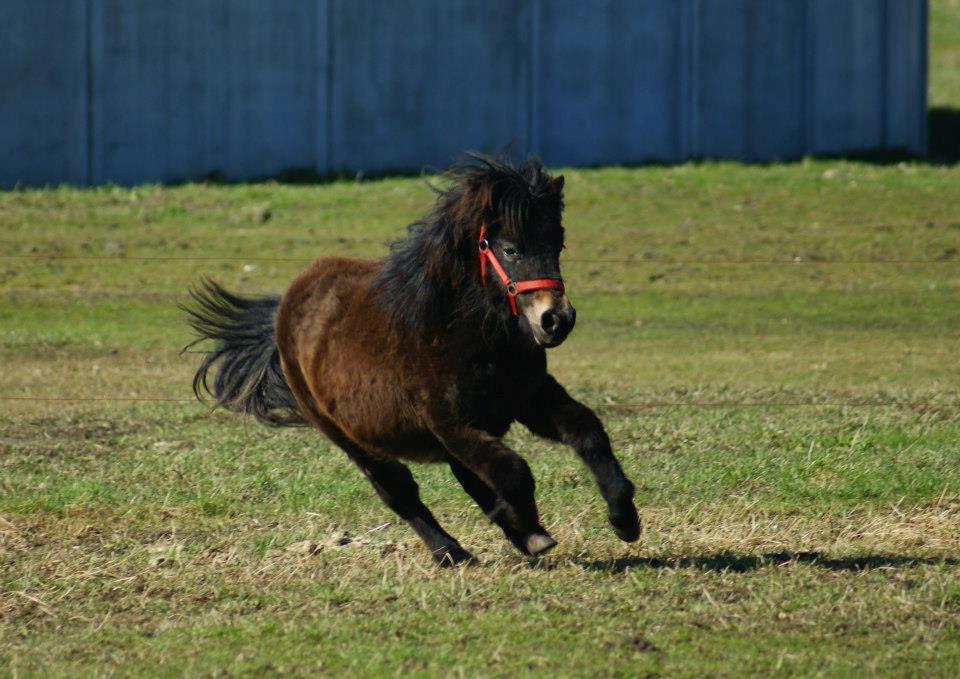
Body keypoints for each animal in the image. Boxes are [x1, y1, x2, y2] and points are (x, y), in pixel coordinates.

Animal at [185, 157, 640, 564]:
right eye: (511, 248)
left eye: (557, 243)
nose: (556, 320)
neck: (466, 335)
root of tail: (285, 308)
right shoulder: (448, 423)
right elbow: (513, 470)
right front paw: (527, 527)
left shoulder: (530, 399)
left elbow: (586, 432)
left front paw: (624, 519)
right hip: (350, 438)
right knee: (398, 491)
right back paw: (453, 552)